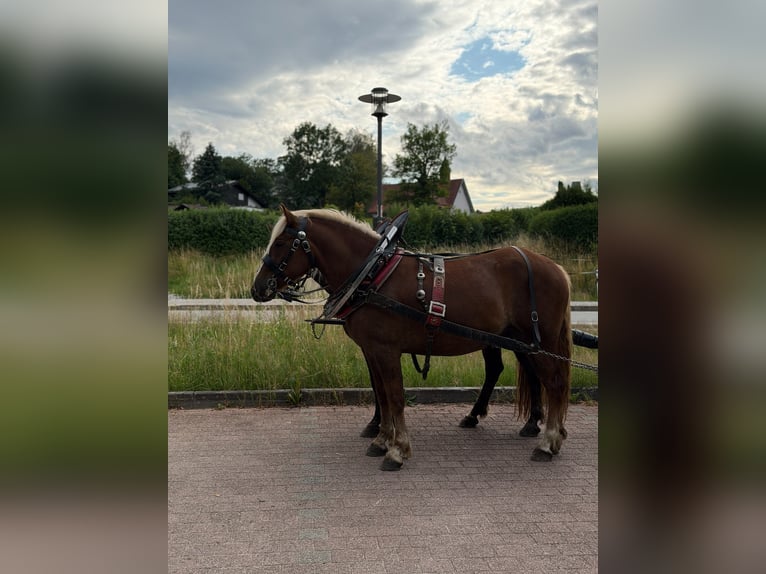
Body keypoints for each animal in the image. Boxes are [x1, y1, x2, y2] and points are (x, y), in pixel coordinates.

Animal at [252, 205, 572, 471]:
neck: (373, 273)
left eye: (281, 244)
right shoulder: (373, 351)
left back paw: (547, 442)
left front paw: (397, 450)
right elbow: (382, 395)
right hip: (517, 340)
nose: (257, 288)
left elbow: (395, 397)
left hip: (539, 342)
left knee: (554, 383)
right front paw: (381, 440)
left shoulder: (386, 350)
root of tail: (556, 267)